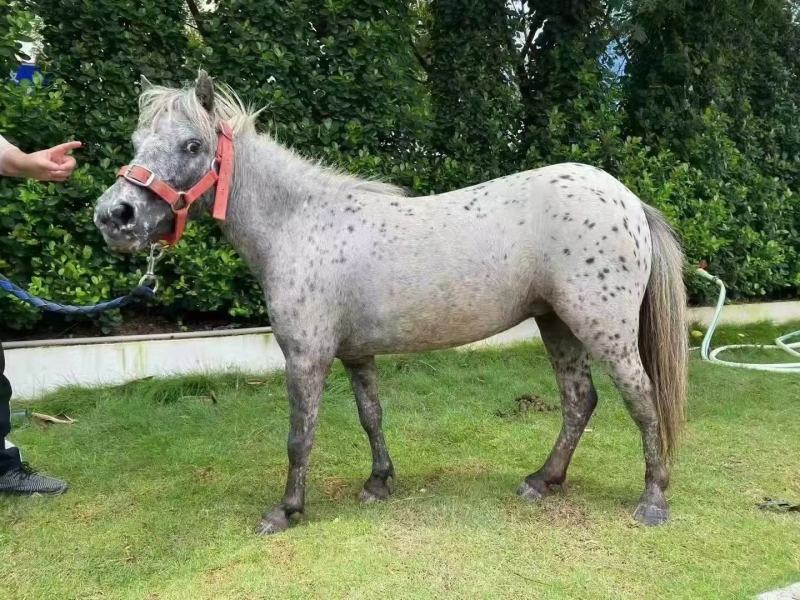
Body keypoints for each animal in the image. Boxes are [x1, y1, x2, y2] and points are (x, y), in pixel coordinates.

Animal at [94, 72, 688, 535]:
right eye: (137, 139)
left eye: (193, 145)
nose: (114, 216)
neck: (299, 223)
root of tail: (628, 200)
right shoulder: (356, 355)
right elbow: (370, 415)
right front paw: (379, 482)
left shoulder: (306, 358)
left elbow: (299, 436)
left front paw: (286, 511)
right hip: (557, 324)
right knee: (579, 400)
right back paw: (544, 480)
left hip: (602, 328)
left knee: (641, 399)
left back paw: (653, 501)